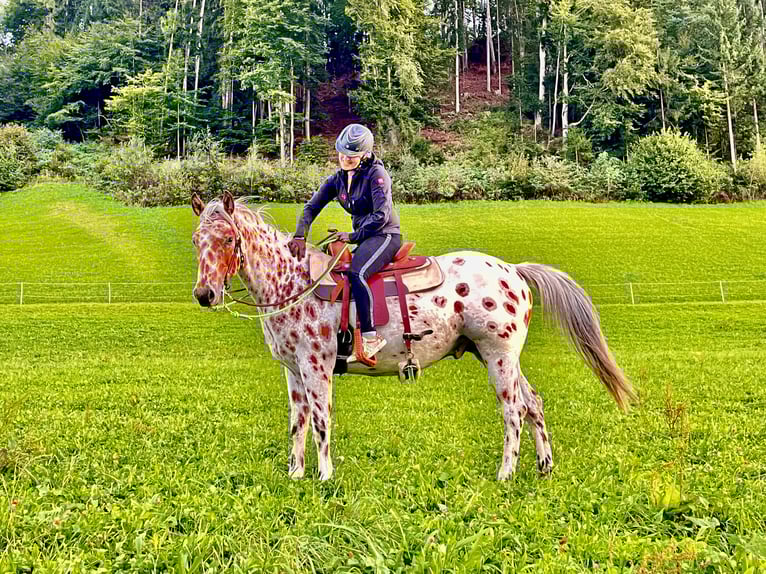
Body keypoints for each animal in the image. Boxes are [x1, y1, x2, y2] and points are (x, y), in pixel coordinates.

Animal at [191, 191, 636, 481]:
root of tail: (514, 270)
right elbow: (297, 422)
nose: (205, 294)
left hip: (498, 356)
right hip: (500, 358)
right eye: (196, 240)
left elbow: (320, 420)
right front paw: (296, 475)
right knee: (534, 404)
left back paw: (505, 474)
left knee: (513, 411)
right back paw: (544, 468)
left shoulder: (316, 367)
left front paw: (324, 477)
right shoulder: (293, 371)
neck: (294, 282)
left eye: (228, 239)